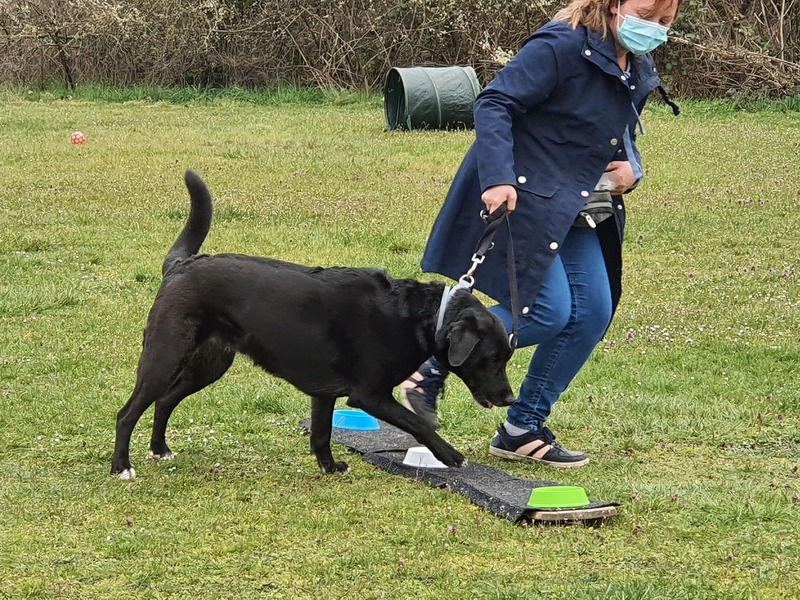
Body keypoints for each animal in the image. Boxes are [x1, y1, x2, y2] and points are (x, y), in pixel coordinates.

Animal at [111, 171, 515, 479]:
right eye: (494, 358)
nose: (510, 398)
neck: (424, 316)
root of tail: (181, 265)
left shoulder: (324, 394)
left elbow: (321, 434)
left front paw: (330, 467)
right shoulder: (369, 395)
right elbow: (419, 424)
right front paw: (451, 455)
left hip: (208, 365)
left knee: (165, 401)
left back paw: (160, 449)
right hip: (164, 358)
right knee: (127, 412)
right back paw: (121, 467)